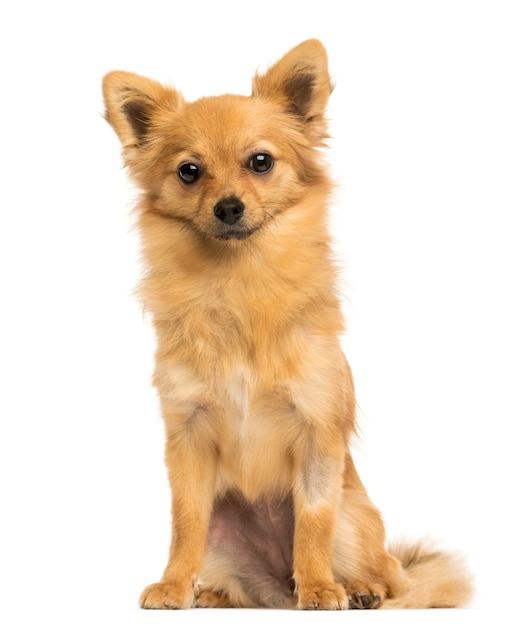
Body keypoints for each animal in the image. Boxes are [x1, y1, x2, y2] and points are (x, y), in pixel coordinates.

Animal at [101, 37, 472, 604]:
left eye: (260, 162)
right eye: (189, 171)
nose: (228, 207)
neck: (239, 283)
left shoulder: (318, 435)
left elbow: (313, 523)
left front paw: (319, 587)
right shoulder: (188, 439)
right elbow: (184, 524)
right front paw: (174, 584)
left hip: (356, 520)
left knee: (389, 578)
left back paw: (357, 589)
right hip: (225, 531)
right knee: (247, 585)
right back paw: (214, 596)